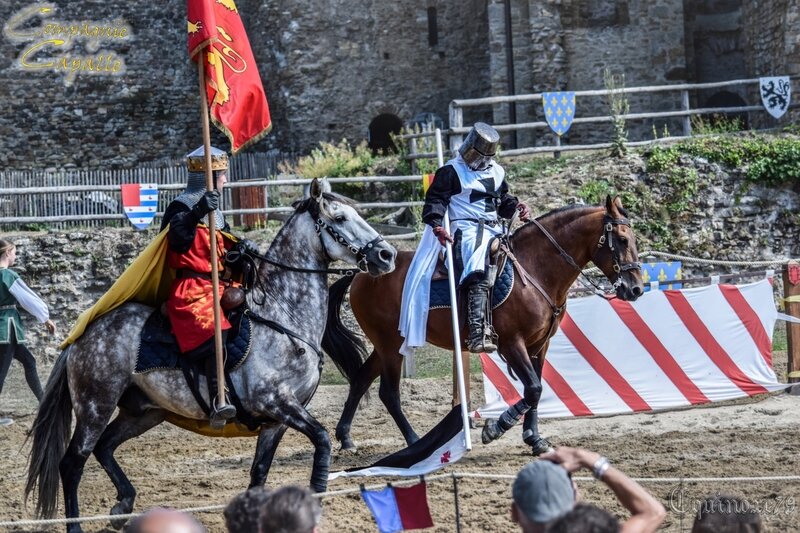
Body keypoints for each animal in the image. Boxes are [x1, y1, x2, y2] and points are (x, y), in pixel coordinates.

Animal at [23, 180, 398, 532]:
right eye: (340, 218)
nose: (387, 255)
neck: (283, 314)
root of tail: (81, 336)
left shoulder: (276, 421)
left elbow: (259, 473)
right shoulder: (276, 403)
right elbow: (321, 441)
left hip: (144, 412)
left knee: (104, 448)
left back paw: (123, 505)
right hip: (95, 406)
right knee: (72, 464)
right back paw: (76, 524)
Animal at [322, 195, 648, 454]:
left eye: (633, 239)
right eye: (621, 239)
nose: (634, 289)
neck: (534, 270)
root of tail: (361, 273)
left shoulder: (539, 345)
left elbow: (536, 389)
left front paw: (534, 438)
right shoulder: (513, 344)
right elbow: (532, 389)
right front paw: (497, 427)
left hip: (386, 344)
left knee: (361, 379)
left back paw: (346, 437)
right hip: (390, 346)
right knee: (388, 393)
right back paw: (415, 441)